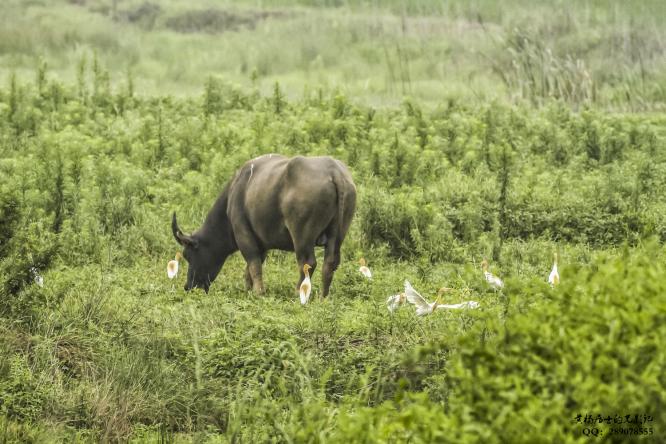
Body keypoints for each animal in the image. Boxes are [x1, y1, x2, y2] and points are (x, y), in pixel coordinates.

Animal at [172, 154, 358, 296]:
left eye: (188, 255)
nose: (188, 286)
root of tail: (335, 172)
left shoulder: (244, 235)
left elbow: (253, 264)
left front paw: (258, 292)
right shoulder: (262, 243)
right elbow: (250, 268)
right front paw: (248, 290)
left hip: (302, 235)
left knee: (307, 263)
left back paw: (298, 293)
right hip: (338, 234)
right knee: (330, 263)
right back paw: (323, 297)